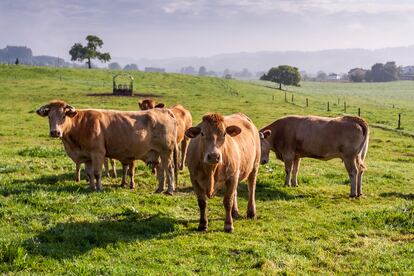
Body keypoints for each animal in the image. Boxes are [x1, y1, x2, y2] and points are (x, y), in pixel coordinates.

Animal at [36, 100, 177, 193]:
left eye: (63, 116)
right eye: (49, 116)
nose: (55, 132)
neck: (81, 124)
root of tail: (164, 110)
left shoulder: (97, 153)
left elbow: (97, 173)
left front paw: (98, 188)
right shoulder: (87, 156)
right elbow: (89, 173)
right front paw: (91, 187)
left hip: (166, 152)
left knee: (169, 168)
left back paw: (170, 190)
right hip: (156, 153)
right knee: (161, 169)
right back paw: (159, 189)